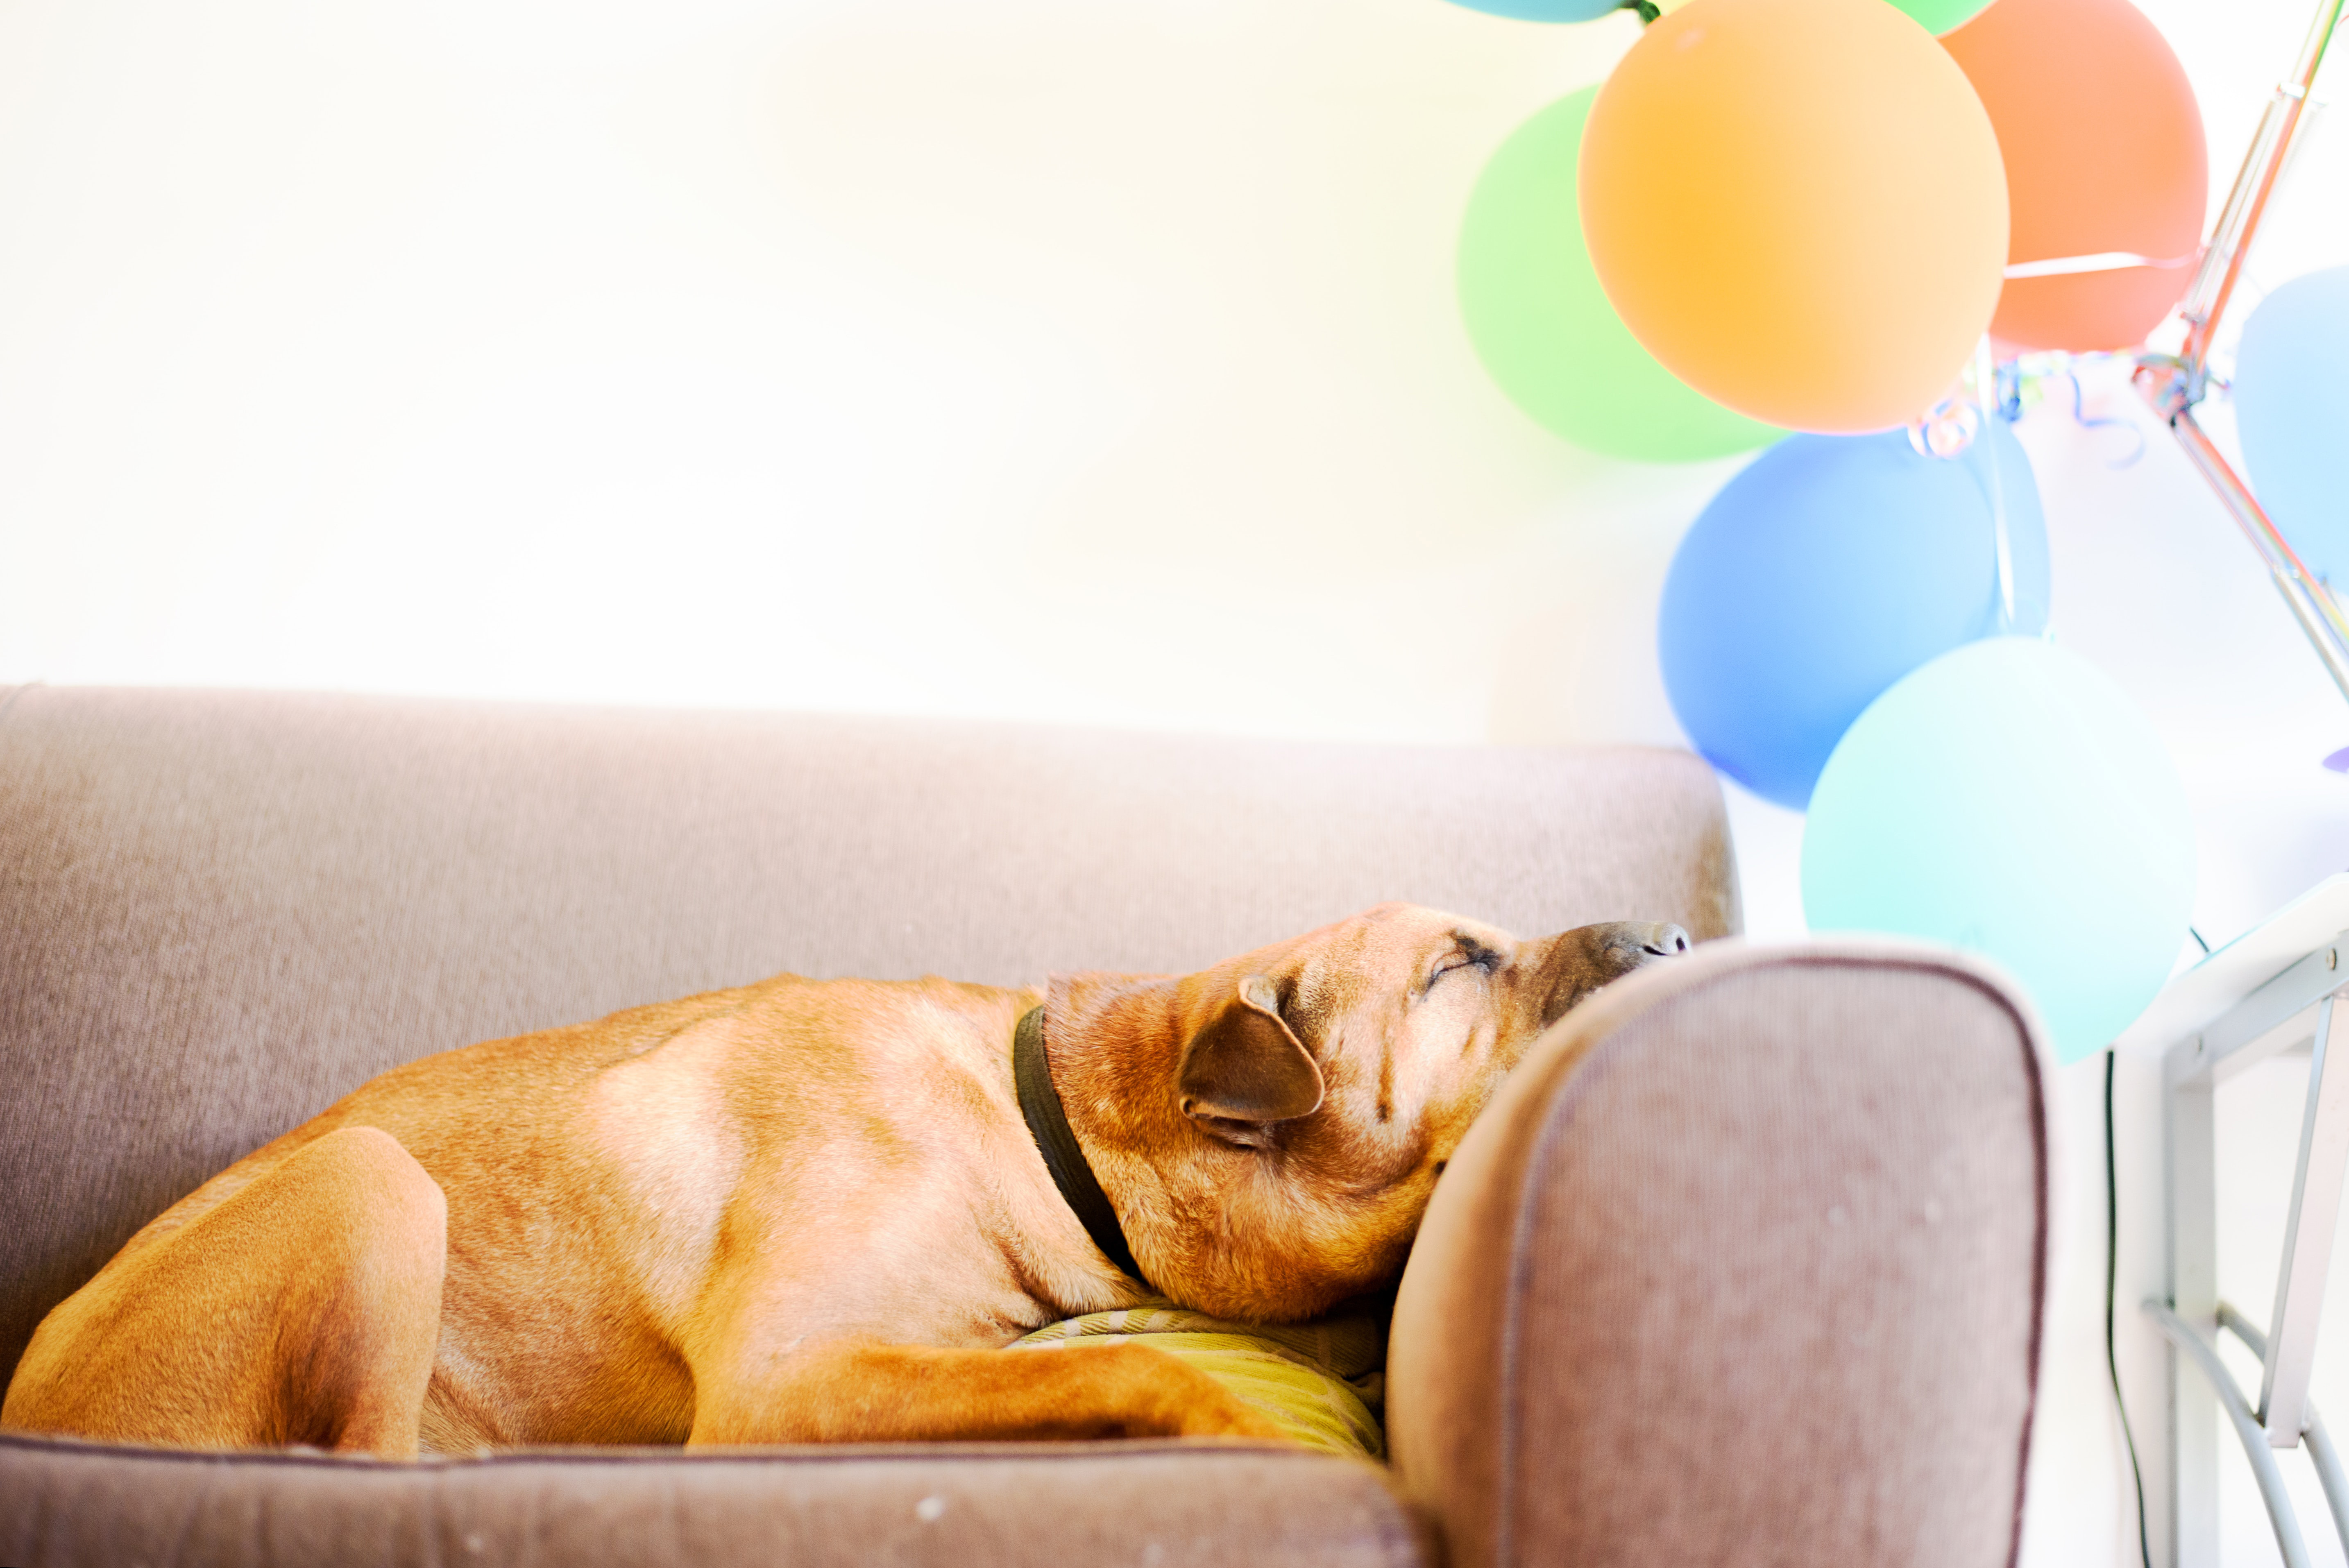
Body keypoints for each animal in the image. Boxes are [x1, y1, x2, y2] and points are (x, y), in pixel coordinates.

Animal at [5, 906, 1691, 1455]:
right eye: (1459, 965)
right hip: (373, 1180)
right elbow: (1141, 1375)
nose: (1676, 937)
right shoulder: (791, 1381)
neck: (1052, 1133)